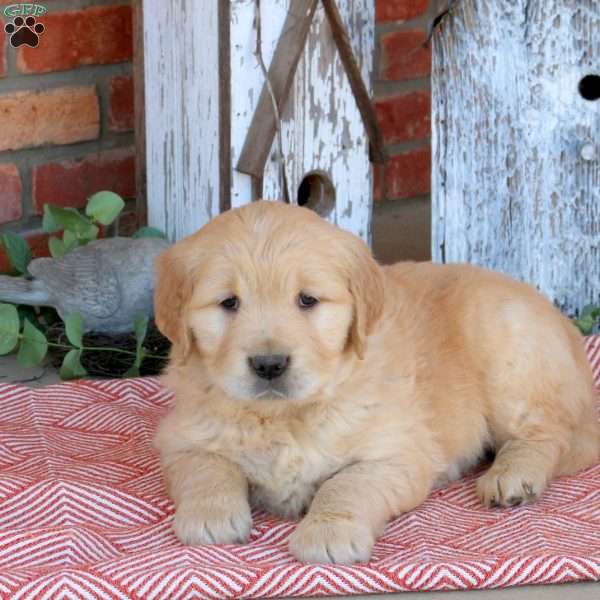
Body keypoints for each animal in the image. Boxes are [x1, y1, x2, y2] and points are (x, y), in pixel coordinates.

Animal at [154, 199, 600, 564]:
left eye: (307, 300)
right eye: (228, 303)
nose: (269, 364)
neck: (285, 415)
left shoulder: (396, 454)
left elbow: (347, 484)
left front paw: (328, 534)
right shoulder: (182, 437)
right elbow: (207, 467)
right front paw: (211, 514)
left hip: (507, 350)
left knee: (548, 432)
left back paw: (513, 477)